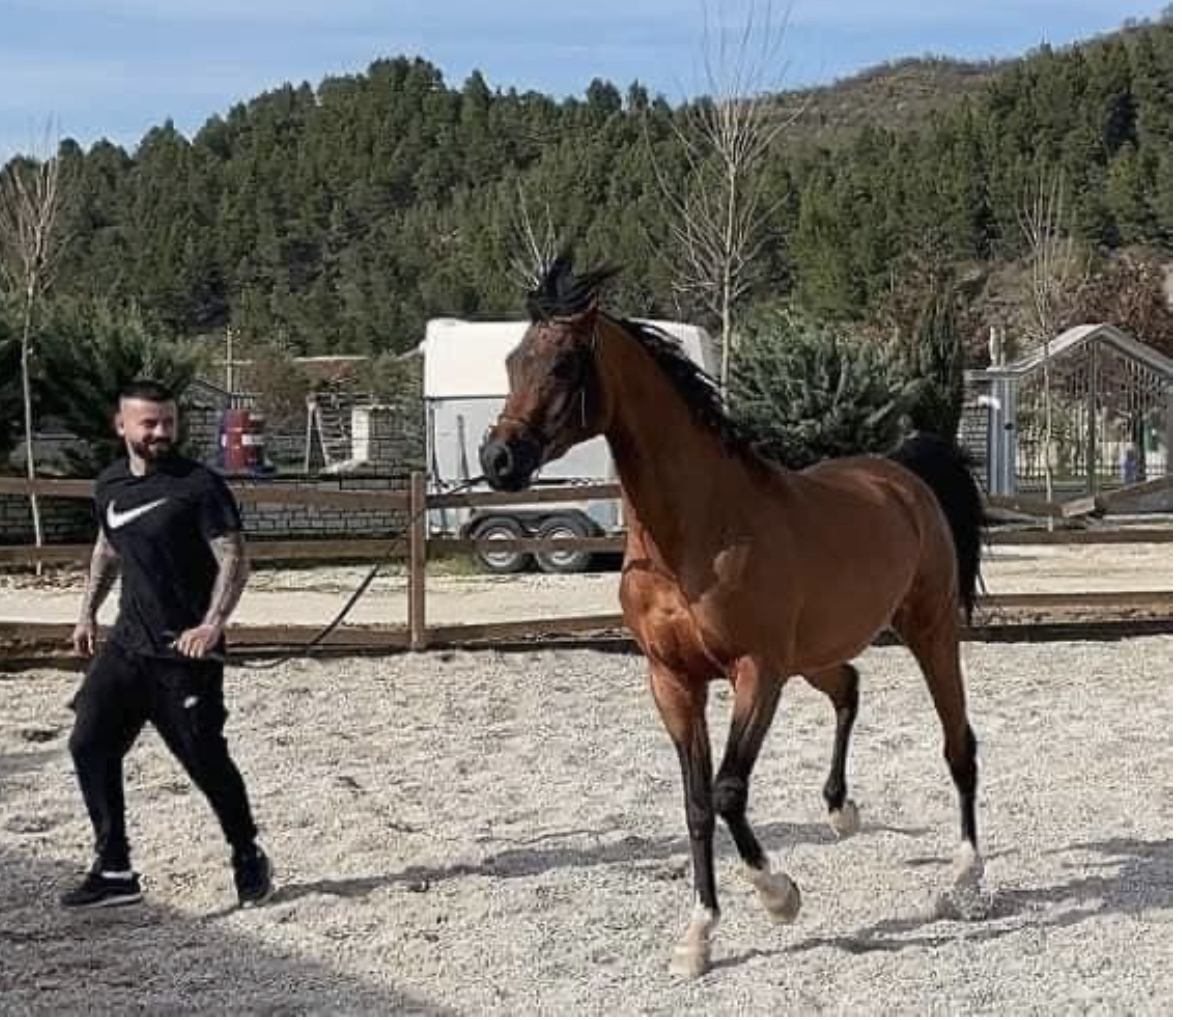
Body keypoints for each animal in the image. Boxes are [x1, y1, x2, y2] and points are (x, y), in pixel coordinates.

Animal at [478, 257, 988, 977]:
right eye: (513, 360)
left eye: (565, 364)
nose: (499, 460)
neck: (694, 537)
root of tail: (900, 473)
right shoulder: (673, 680)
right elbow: (696, 804)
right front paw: (697, 938)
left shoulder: (756, 672)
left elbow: (728, 791)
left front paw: (780, 896)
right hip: (816, 653)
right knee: (850, 688)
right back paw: (841, 812)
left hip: (929, 630)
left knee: (958, 745)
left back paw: (965, 881)